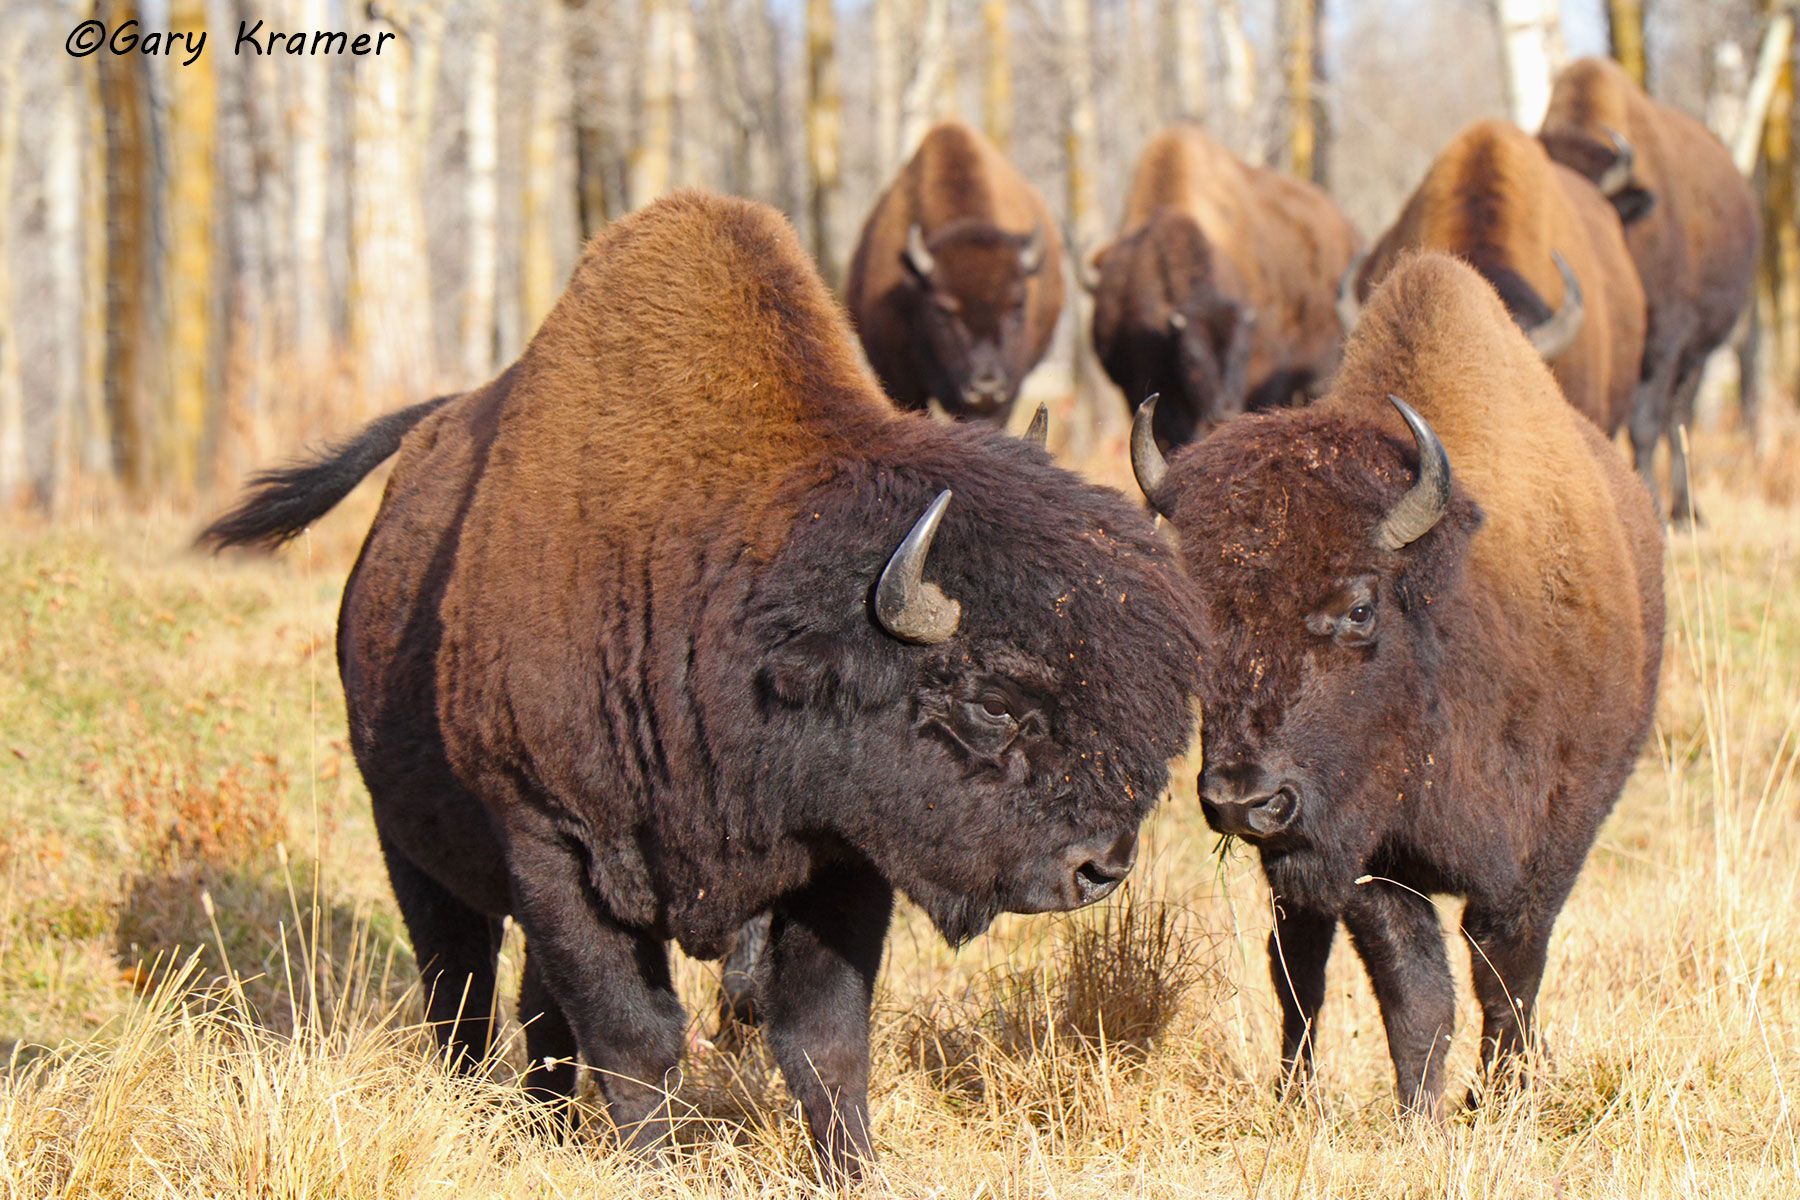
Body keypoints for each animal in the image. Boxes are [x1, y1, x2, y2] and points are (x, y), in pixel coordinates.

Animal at [201, 192, 1202, 1179]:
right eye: (991, 703)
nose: (1101, 866)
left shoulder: (842, 858)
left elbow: (824, 1041)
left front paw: (853, 1173)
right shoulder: (554, 841)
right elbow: (635, 1037)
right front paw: (648, 1167)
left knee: (534, 1009)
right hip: (412, 849)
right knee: (463, 992)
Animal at [1131, 252, 1663, 1114]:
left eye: (1358, 607)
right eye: (1194, 612)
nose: (1245, 800)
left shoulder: (1555, 834)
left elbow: (1506, 973)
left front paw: (1501, 1098)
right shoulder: (1368, 850)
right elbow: (1416, 993)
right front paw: (1423, 1118)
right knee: (1297, 967)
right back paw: (1295, 1095)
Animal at [1540, 56, 1758, 523]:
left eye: (1586, 205)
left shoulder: (1664, 341)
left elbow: (1644, 425)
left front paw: (1654, 507)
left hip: (1701, 351)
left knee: (1679, 416)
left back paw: (1686, 509)